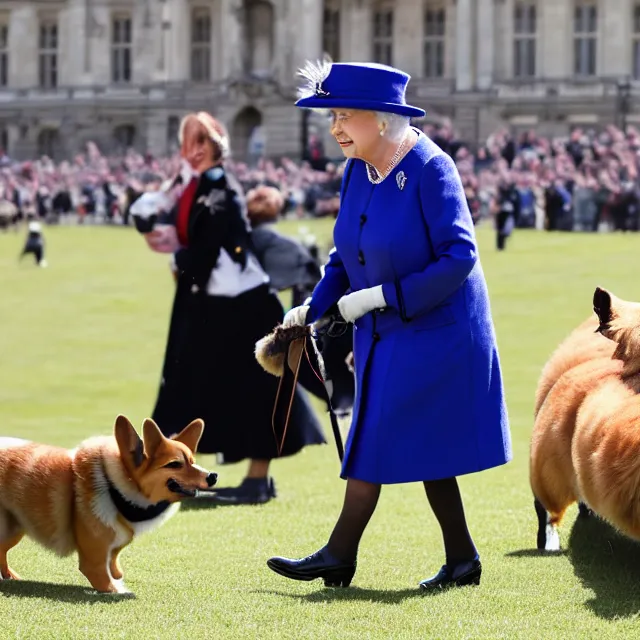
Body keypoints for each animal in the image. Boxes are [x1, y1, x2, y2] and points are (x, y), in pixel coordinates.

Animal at [0, 416, 218, 596]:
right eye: (175, 464)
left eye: (193, 461)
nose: (213, 476)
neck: (115, 490)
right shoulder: (92, 561)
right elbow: (104, 580)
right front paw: (119, 590)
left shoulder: (115, 544)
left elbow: (113, 560)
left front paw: (117, 573)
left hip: (15, 529)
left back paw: (10, 576)